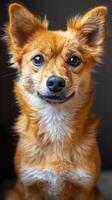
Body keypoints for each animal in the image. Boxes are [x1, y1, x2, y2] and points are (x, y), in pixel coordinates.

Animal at [4, 2, 107, 198]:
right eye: (38, 59)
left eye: (74, 60)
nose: (56, 82)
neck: (55, 121)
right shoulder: (31, 186)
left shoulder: (84, 187)